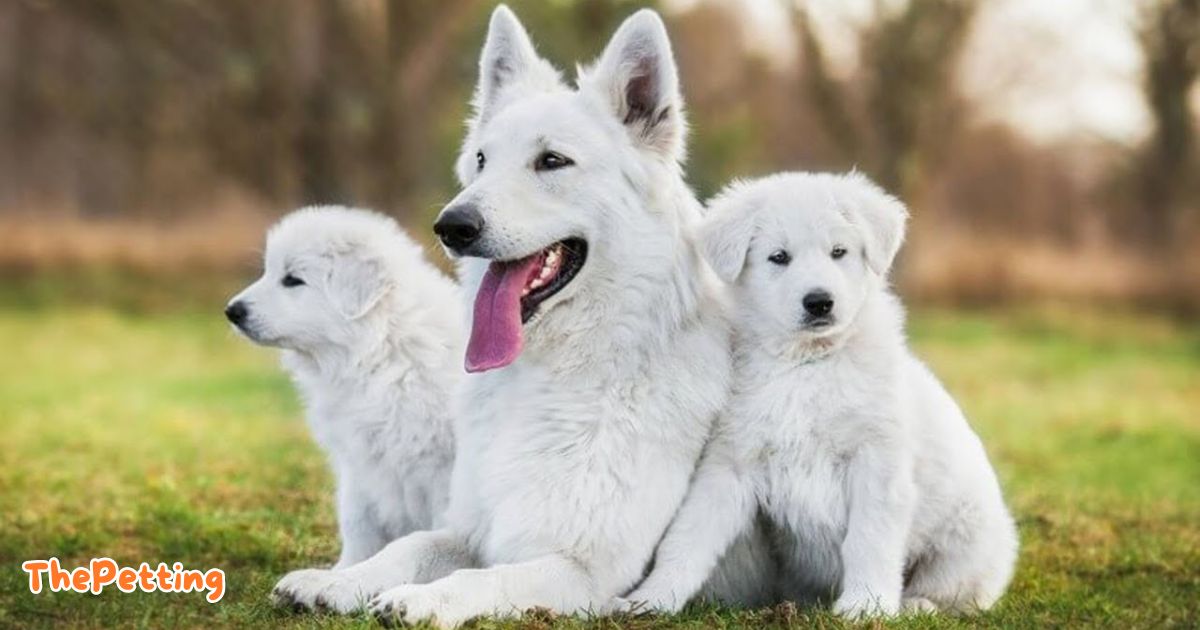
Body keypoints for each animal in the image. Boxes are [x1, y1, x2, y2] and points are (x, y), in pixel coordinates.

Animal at [225, 204, 463, 571]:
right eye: (268, 271)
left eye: (292, 279)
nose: (232, 311)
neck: (380, 351)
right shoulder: (357, 463)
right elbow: (357, 523)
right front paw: (344, 571)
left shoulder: (438, 469)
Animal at [270, 7, 748, 624]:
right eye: (481, 160)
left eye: (552, 161)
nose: (451, 227)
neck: (551, 374)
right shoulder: (466, 529)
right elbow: (409, 546)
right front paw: (341, 581)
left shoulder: (583, 574)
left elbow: (484, 578)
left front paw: (422, 600)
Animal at [624, 171, 1017, 614]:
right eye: (779, 257)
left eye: (838, 252)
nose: (819, 302)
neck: (807, 364)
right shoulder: (731, 461)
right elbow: (688, 538)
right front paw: (652, 599)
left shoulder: (876, 459)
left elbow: (869, 539)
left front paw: (866, 606)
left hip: (967, 540)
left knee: (957, 590)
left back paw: (917, 604)